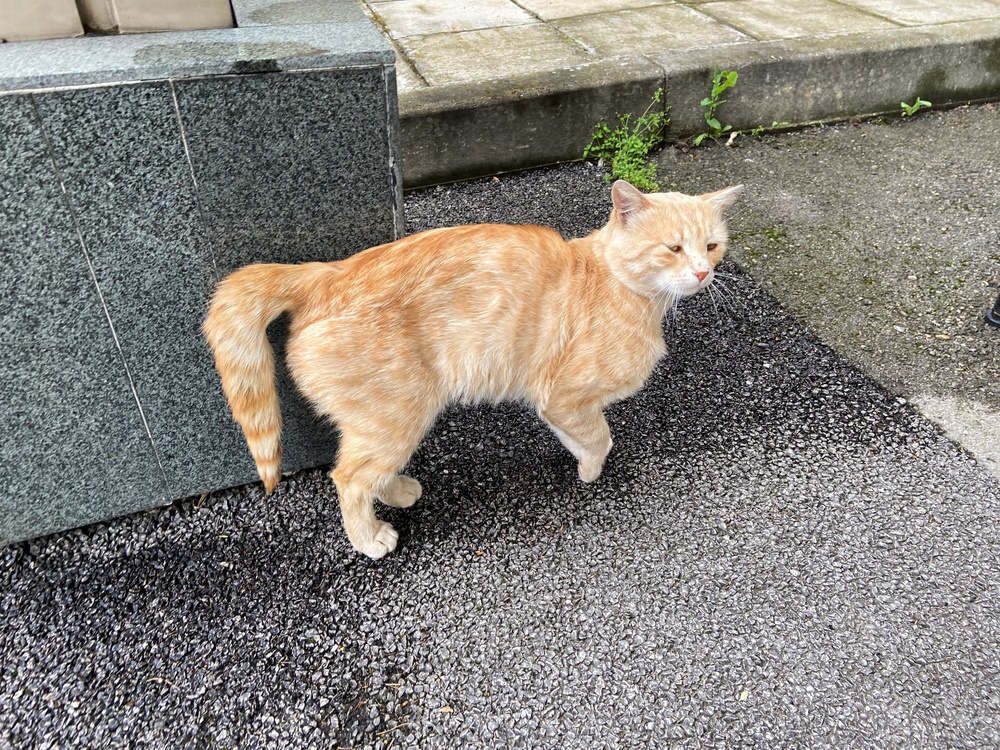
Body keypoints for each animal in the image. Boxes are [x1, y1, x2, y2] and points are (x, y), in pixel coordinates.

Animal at [203, 182, 740, 560]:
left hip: (387, 420)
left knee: (364, 468)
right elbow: (600, 438)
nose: (702, 273)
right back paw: (369, 537)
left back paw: (397, 491)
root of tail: (325, 273)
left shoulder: (558, 403)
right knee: (349, 477)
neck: (619, 286)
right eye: (674, 248)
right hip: (399, 414)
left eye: (712, 246)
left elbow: (583, 435)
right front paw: (589, 471)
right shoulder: (564, 397)